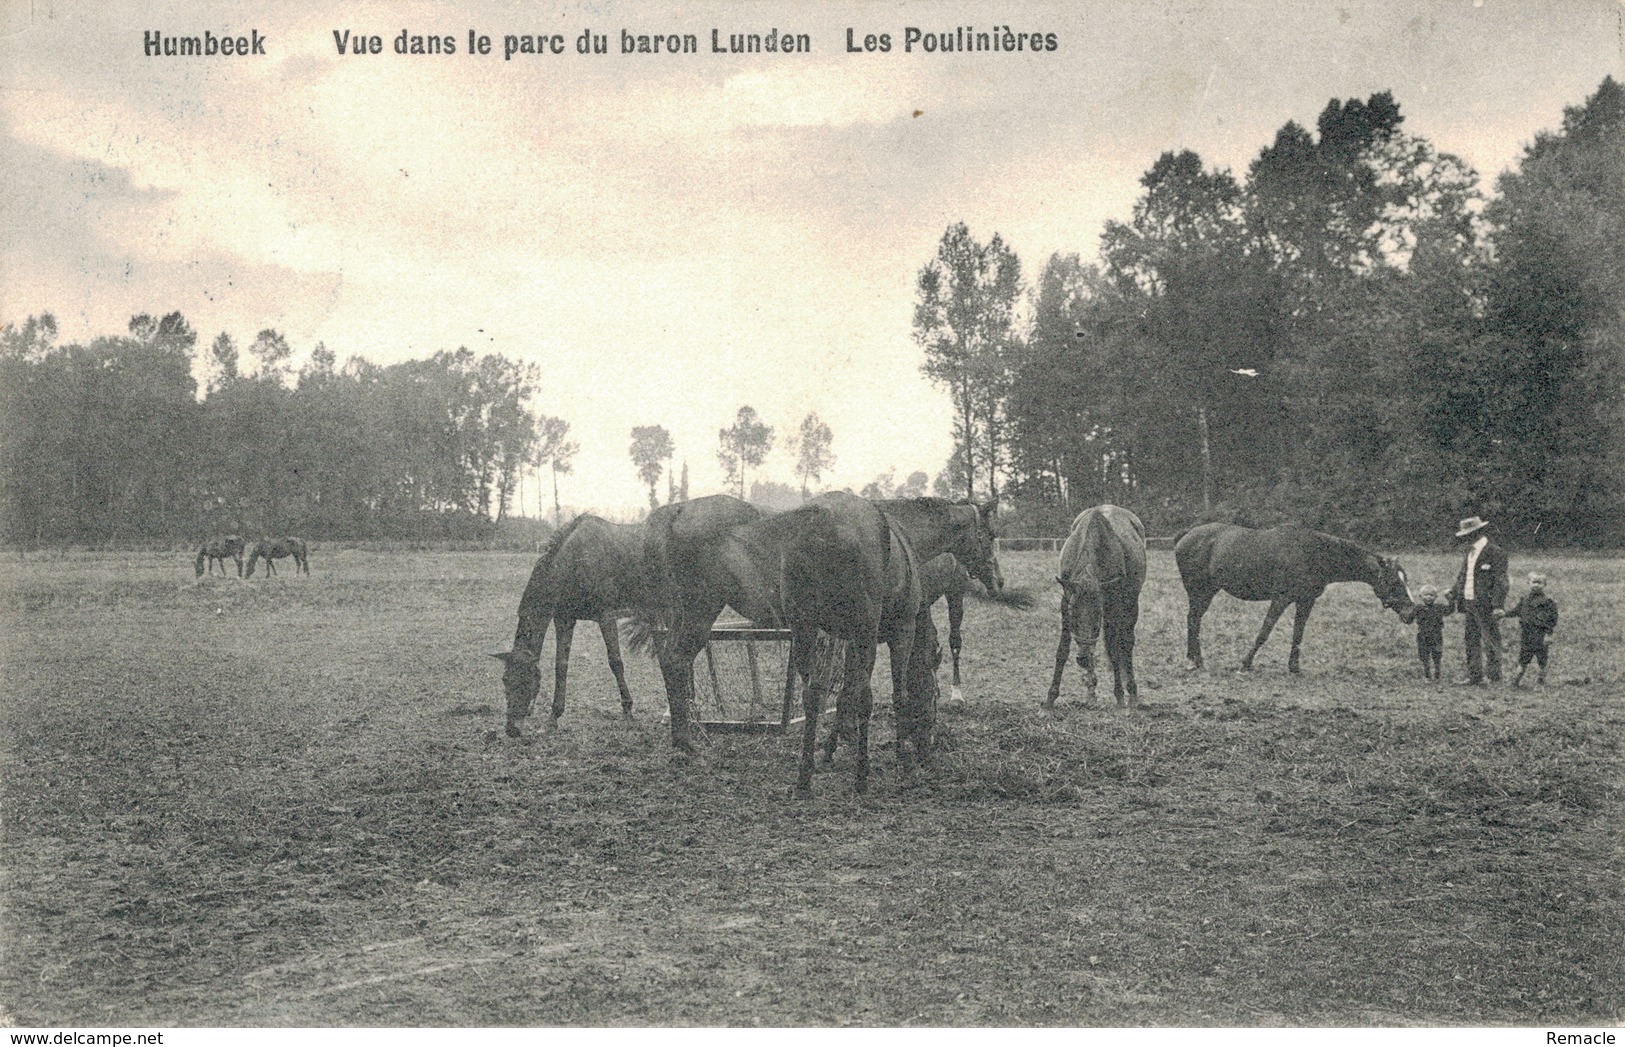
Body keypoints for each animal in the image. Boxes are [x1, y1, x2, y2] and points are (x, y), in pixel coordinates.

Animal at [494, 513, 672, 734]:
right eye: (505, 680)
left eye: (527, 680)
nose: (512, 729)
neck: (575, 560)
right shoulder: (564, 619)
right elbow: (561, 665)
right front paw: (553, 717)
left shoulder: (606, 616)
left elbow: (616, 662)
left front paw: (628, 712)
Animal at [1046, 503, 1150, 708]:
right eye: (1074, 617)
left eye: (1097, 621)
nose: (1083, 658)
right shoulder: (1066, 600)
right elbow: (1062, 649)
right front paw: (1050, 700)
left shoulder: (1113, 606)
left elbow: (1115, 649)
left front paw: (1120, 698)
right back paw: (1091, 690)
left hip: (1131, 604)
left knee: (1126, 643)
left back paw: (1132, 693)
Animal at [1176, 520, 1417, 676]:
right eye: (1394, 582)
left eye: (1406, 580)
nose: (1412, 613)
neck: (1312, 554)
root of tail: (1187, 534)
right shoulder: (1281, 599)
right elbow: (1264, 631)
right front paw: (1245, 664)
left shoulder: (1306, 601)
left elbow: (1298, 634)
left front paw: (1294, 667)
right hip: (1200, 591)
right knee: (1193, 620)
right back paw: (1194, 661)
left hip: (1207, 591)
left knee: (1194, 620)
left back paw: (1195, 660)